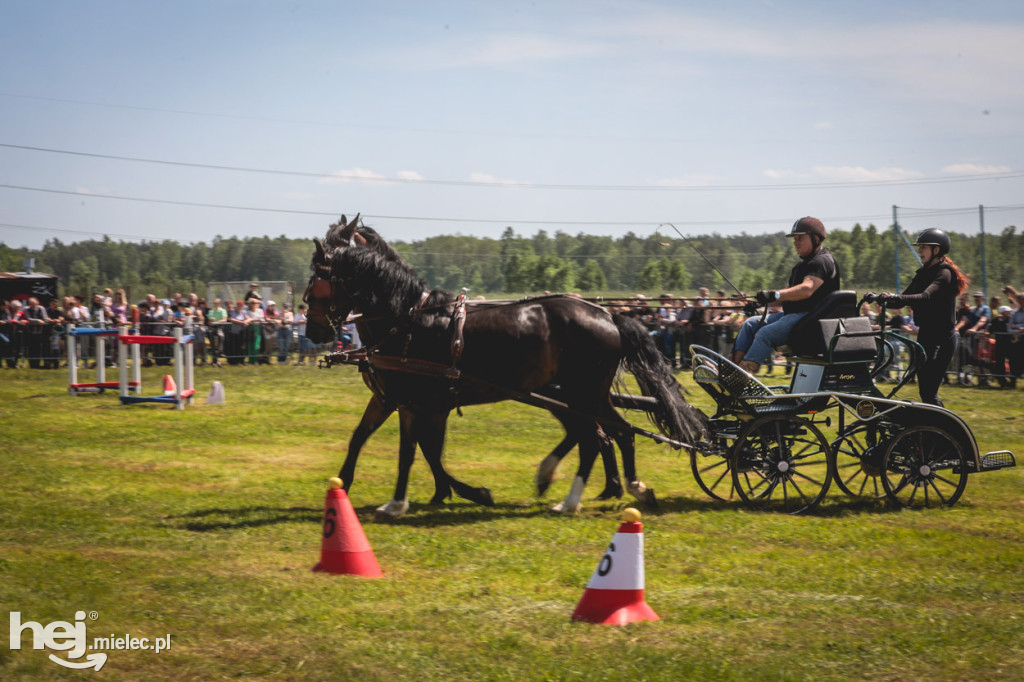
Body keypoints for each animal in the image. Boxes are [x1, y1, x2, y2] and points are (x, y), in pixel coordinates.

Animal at [303, 220, 704, 512]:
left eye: (317, 281)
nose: (313, 331)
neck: (408, 319)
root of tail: (608, 315)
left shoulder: (424, 403)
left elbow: (418, 451)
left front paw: (431, 497)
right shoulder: (394, 399)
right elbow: (369, 439)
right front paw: (350, 486)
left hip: (583, 393)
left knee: (603, 436)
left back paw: (586, 496)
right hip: (579, 395)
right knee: (603, 434)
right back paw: (608, 487)